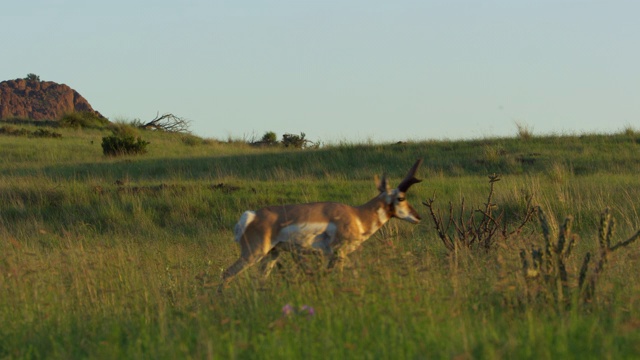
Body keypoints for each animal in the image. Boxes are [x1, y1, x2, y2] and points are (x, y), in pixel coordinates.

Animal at [220, 160, 424, 286]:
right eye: (401, 198)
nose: (418, 217)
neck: (357, 215)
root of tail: (251, 215)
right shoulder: (338, 253)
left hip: (272, 254)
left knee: (258, 281)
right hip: (253, 254)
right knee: (226, 274)